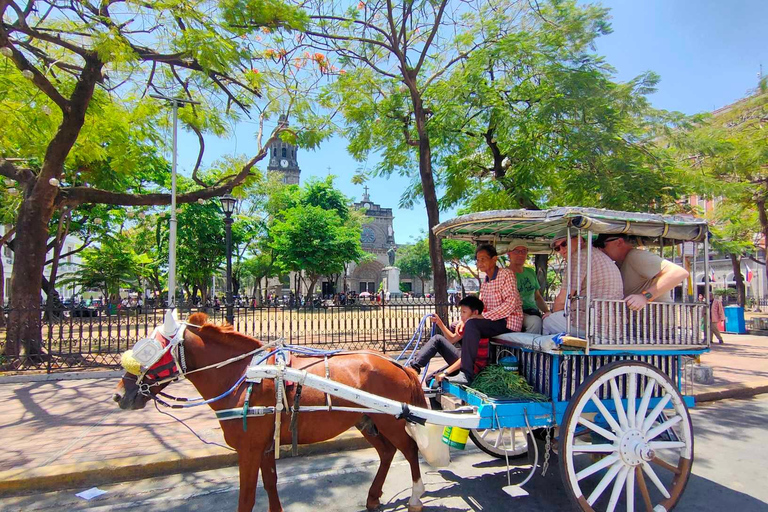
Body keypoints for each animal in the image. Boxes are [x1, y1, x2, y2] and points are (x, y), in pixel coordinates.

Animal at [113, 312, 428, 512]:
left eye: (148, 350)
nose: (119, 395)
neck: (242, 376)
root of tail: (399, 365)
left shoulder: (249, 448)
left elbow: (247, 498)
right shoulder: (263, 445)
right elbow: (270, 484)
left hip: (391, 420)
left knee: (410, 450)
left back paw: (415, 498)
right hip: (366, 420)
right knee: (387, 452)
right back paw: (373, 497)